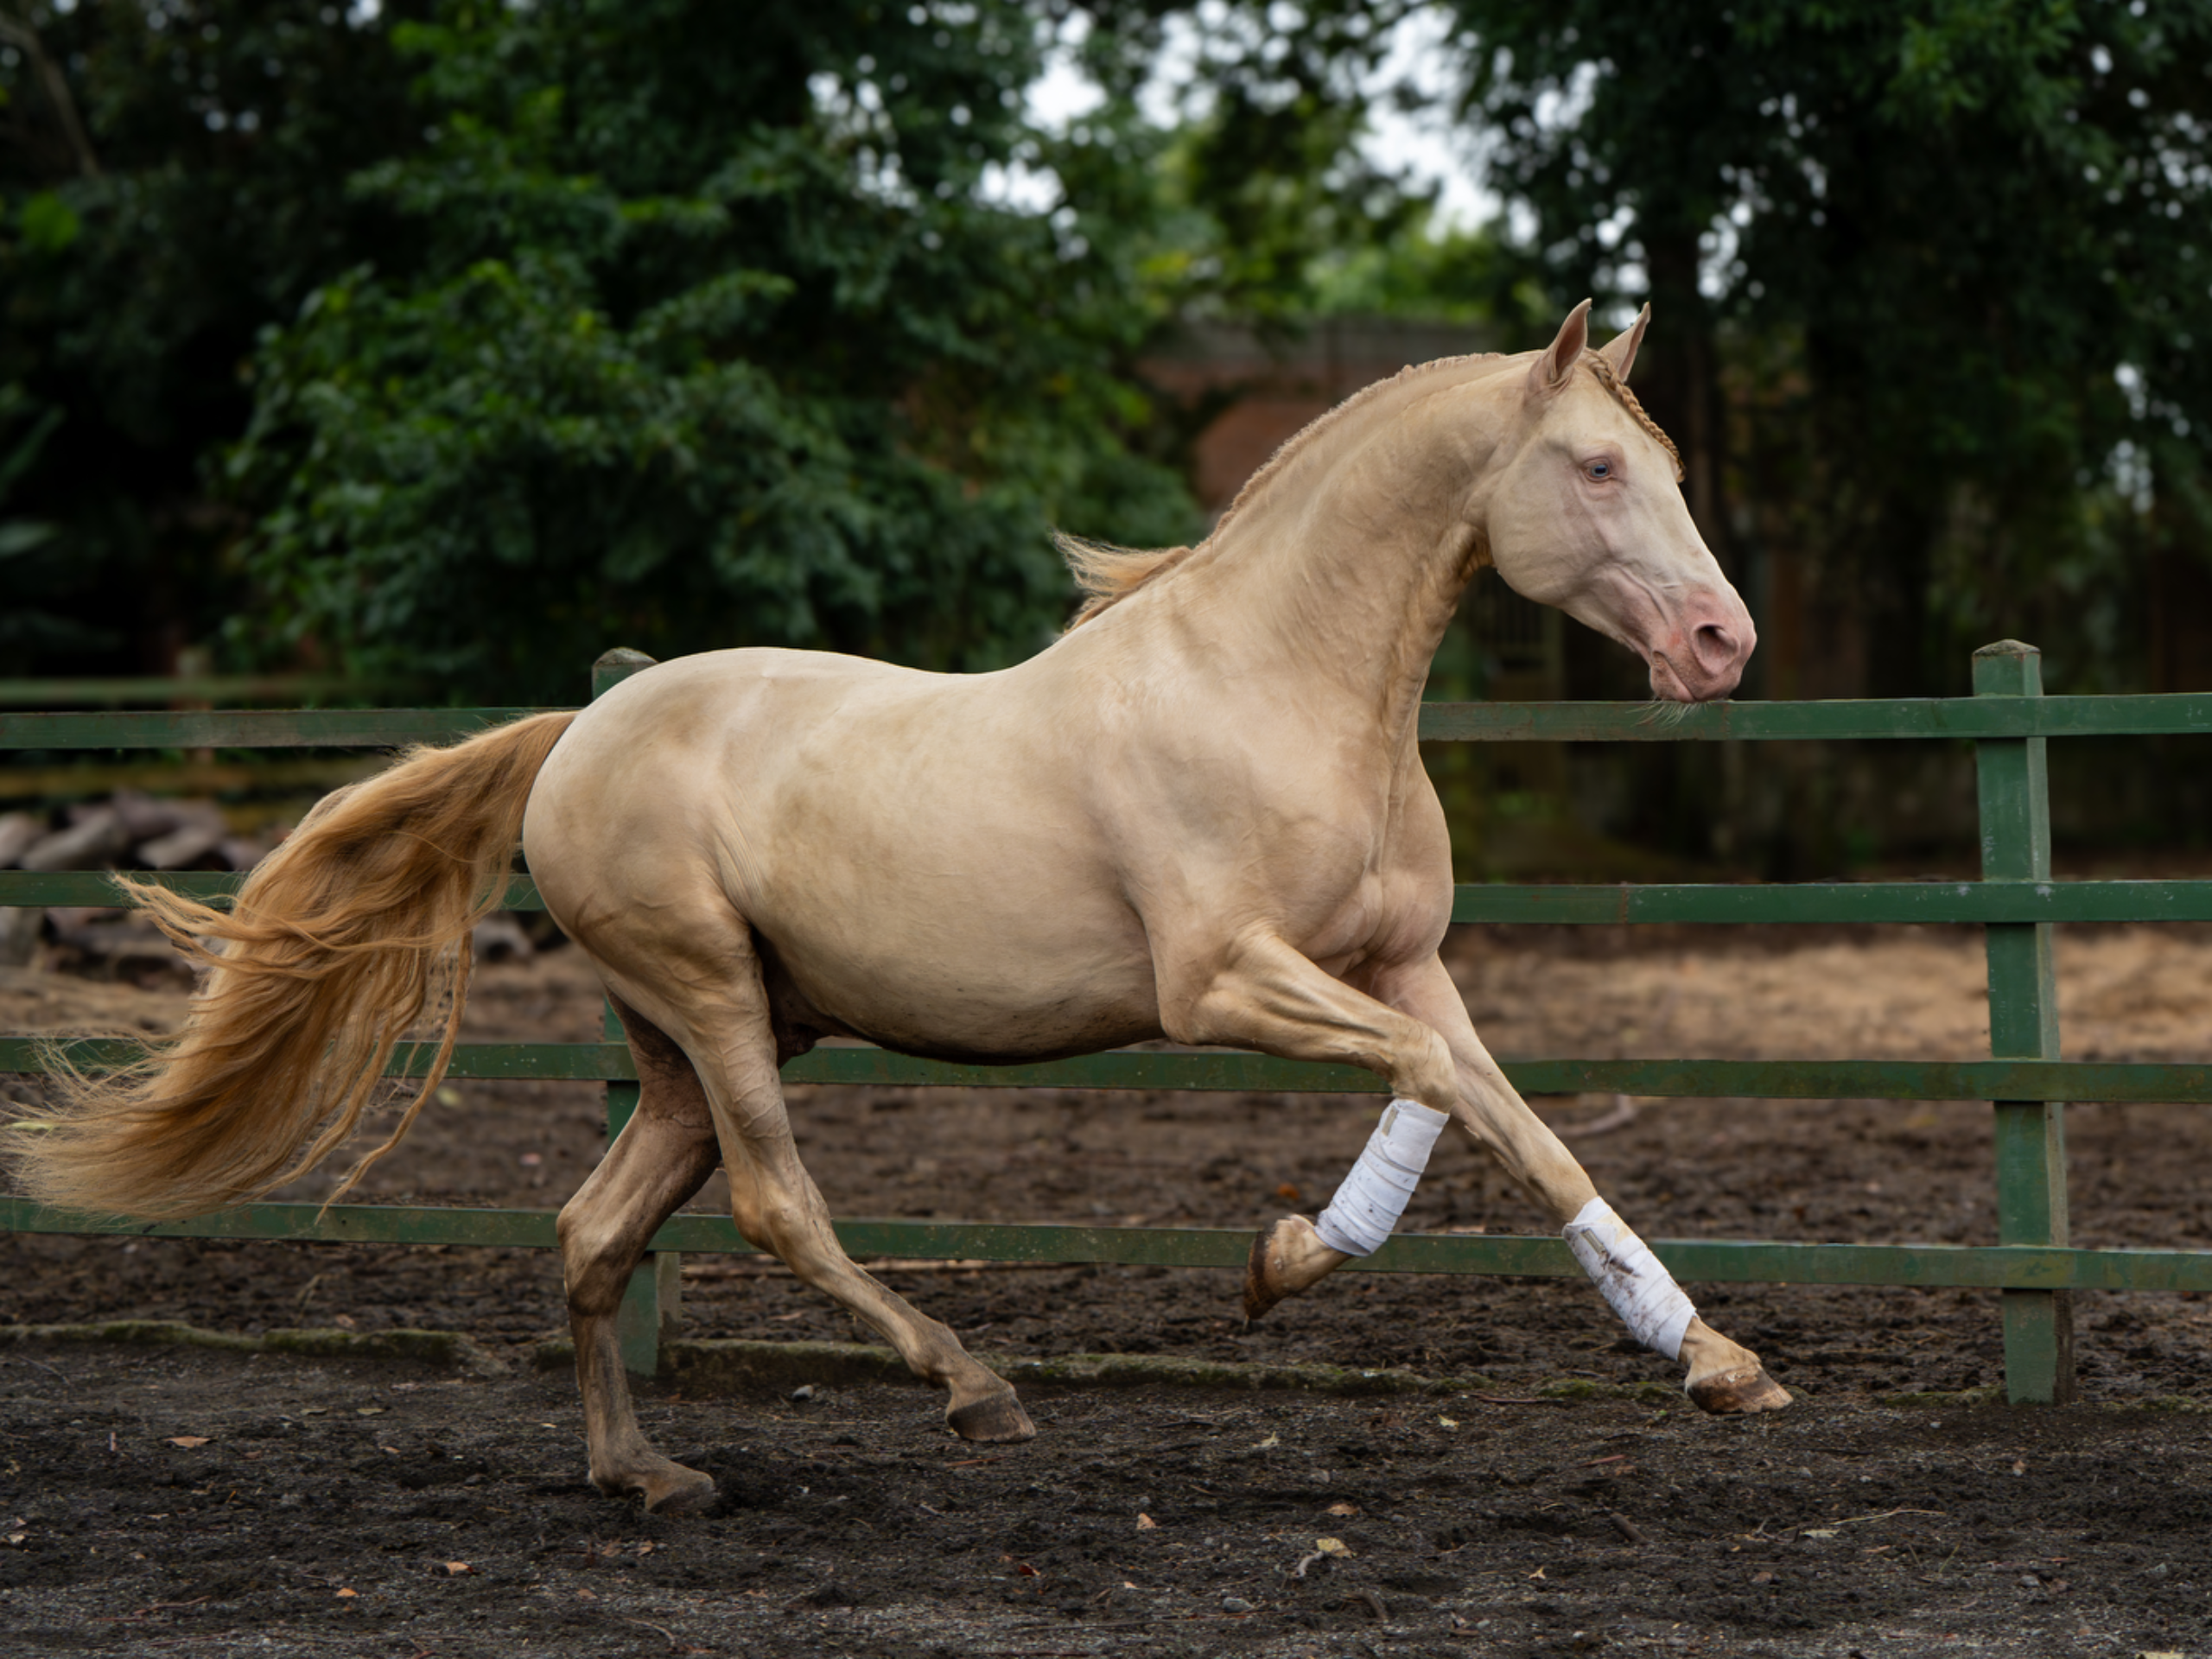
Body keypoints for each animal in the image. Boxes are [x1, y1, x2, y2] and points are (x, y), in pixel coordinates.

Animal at [14, 300, 1783, 1516]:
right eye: (1598, 466)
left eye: (1673, 465)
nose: (1722, 645)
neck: (1276, 687)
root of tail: (575, 730)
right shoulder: (1225, 983)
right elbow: (1431, 1098)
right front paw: (1282, 1263)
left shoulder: (1405, 967)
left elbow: (1523, 1127)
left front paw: (1717, 1362)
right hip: (714, 1002)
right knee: (771, 1207)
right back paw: (974, 1389)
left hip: (692, 1039)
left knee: (595, 1230)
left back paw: (647, 1479)